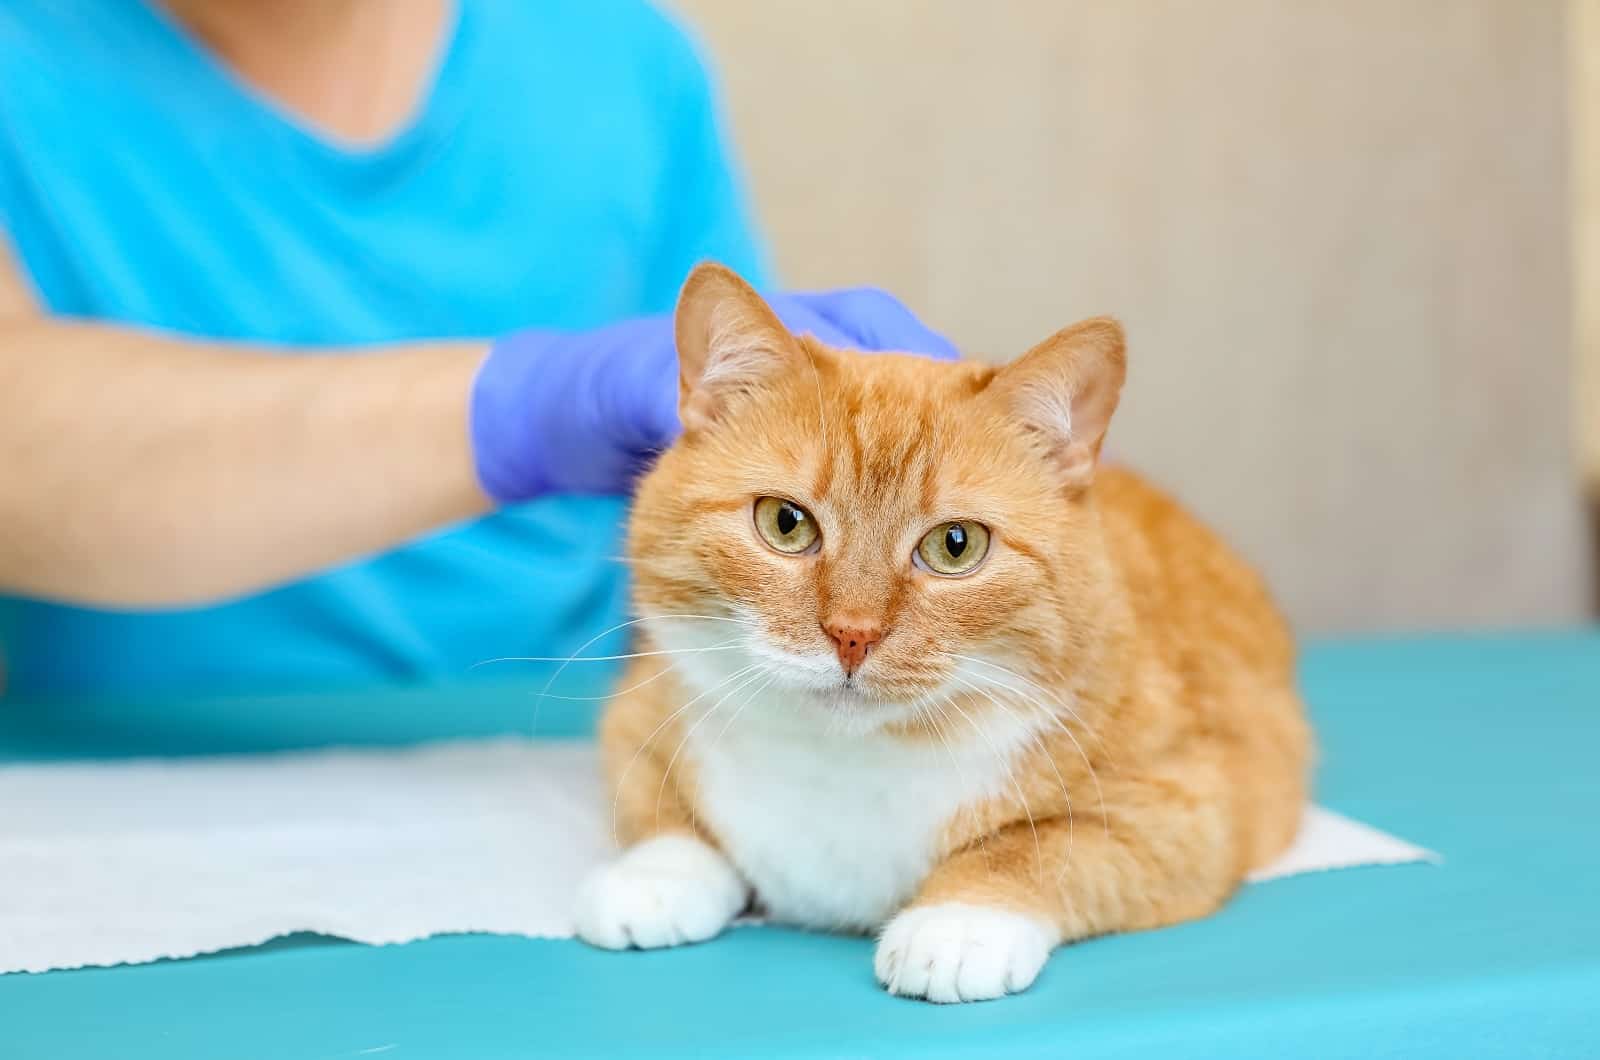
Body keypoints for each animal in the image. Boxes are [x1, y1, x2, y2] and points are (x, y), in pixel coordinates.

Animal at [576, 264, 1312, 1005]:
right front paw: (654, 880)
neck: (842, 761)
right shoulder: (640, 715)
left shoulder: (1187, 805)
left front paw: (959, 924)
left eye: (956, 545)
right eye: (785, 523)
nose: (852, 634)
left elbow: (1036, 847)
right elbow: (667, 818)